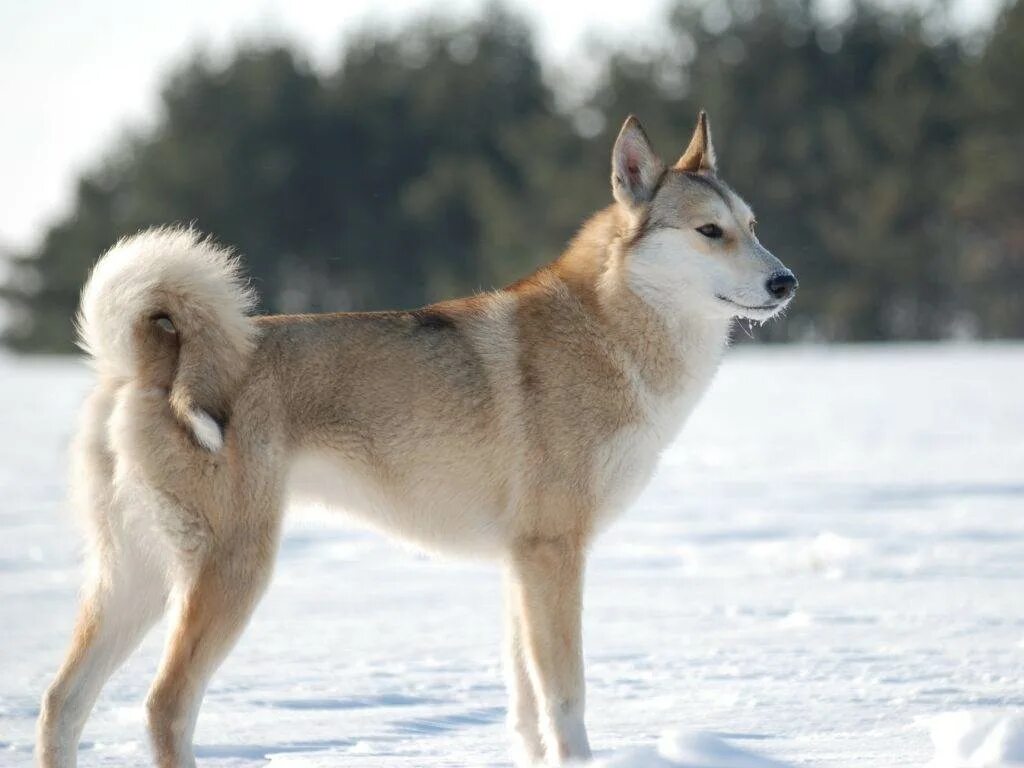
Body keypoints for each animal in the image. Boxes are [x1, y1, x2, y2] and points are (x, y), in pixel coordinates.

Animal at [37, 111, 790, 765]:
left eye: (753, 227)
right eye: (709, 231)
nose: (787, 280)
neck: (611, 331)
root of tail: (146, 359)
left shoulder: (522, 564)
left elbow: (526, 708)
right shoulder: (554, 554)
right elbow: (566, 700)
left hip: (135, 578)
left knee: (62, 702)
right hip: (232, 570)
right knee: (165, 706)